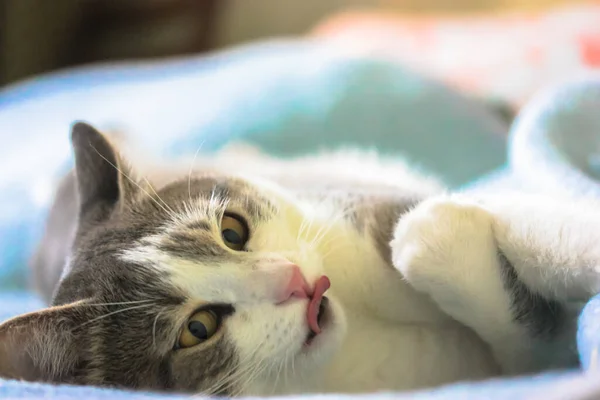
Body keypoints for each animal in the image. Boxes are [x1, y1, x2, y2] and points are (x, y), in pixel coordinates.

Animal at [0, 122, 592, 396]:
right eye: (197, 328)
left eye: (232, 231)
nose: (293, 281)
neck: (357, 341)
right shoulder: (513, 367)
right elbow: (532, 346)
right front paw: (431, 236)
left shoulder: (354, 209)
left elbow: (538, 222)